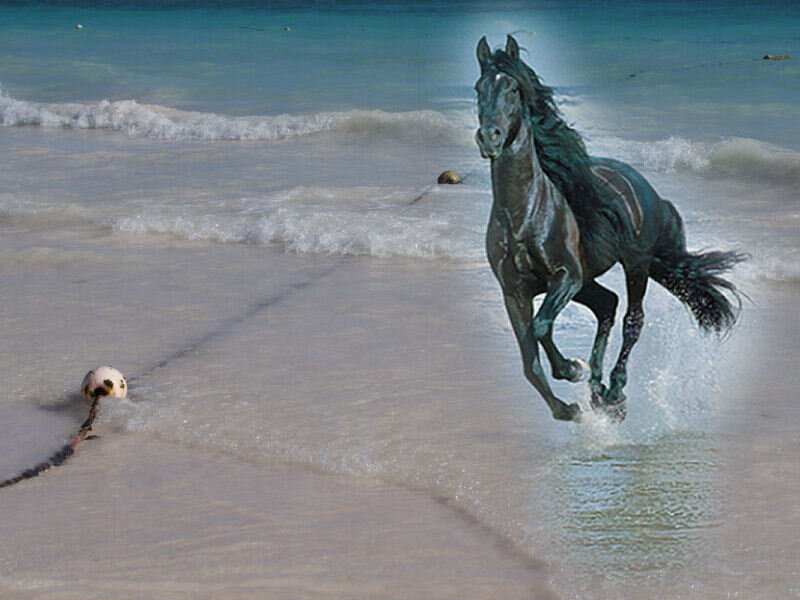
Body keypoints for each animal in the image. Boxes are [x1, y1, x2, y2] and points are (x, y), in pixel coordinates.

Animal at [474, 35, 744, 422]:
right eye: (479, 88)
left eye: (512, 88)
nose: (489, 138)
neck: (522, 216)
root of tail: (647, 189)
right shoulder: (515, 292)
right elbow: (529, 362)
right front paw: (567, 407)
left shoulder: (566, 277)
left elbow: (541, 327)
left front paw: (571, 369)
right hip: (589, 281)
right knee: (607, 305)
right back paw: (598, 391)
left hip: (634, 266)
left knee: (633, 319)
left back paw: (614, 391)